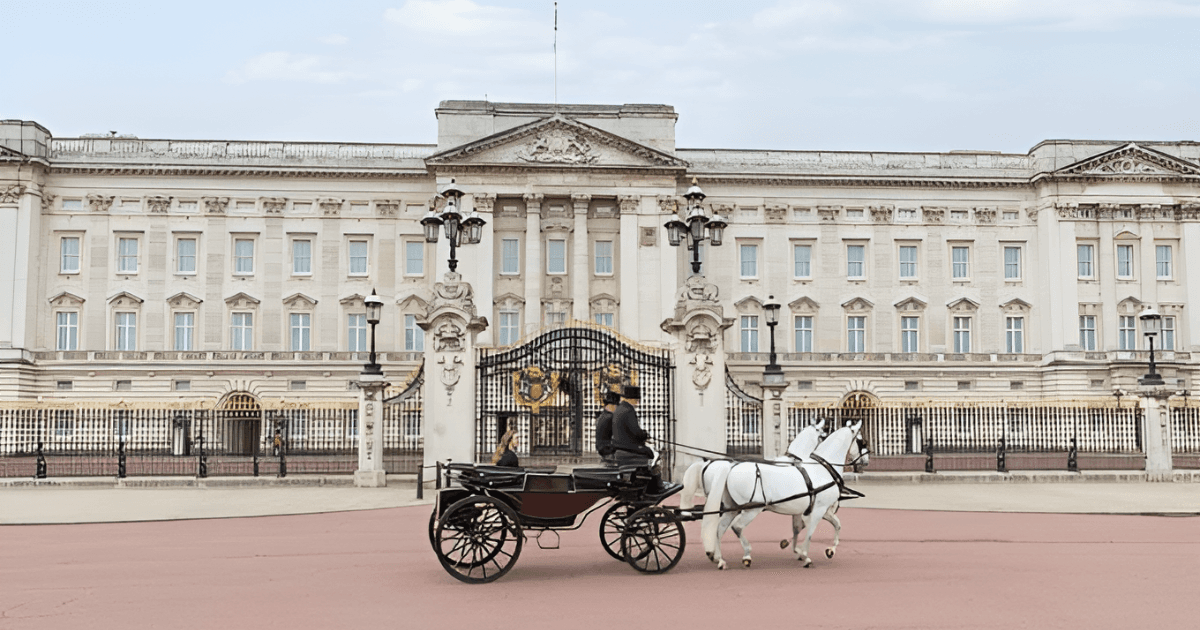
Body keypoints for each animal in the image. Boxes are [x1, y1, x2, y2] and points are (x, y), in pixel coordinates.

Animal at [700, 422, 868, 568]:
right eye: (862, 441)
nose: (866, 462)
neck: (822, 468)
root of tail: (730, 466)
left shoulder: (821, 510)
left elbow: (835, 525)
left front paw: (830, 550)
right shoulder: (818, 510)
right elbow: (810, 531)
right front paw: (805, 555)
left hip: (733, 508)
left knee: (720, 529)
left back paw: (720, 559)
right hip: (751, 509)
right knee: (737, 527)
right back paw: (746, 554)